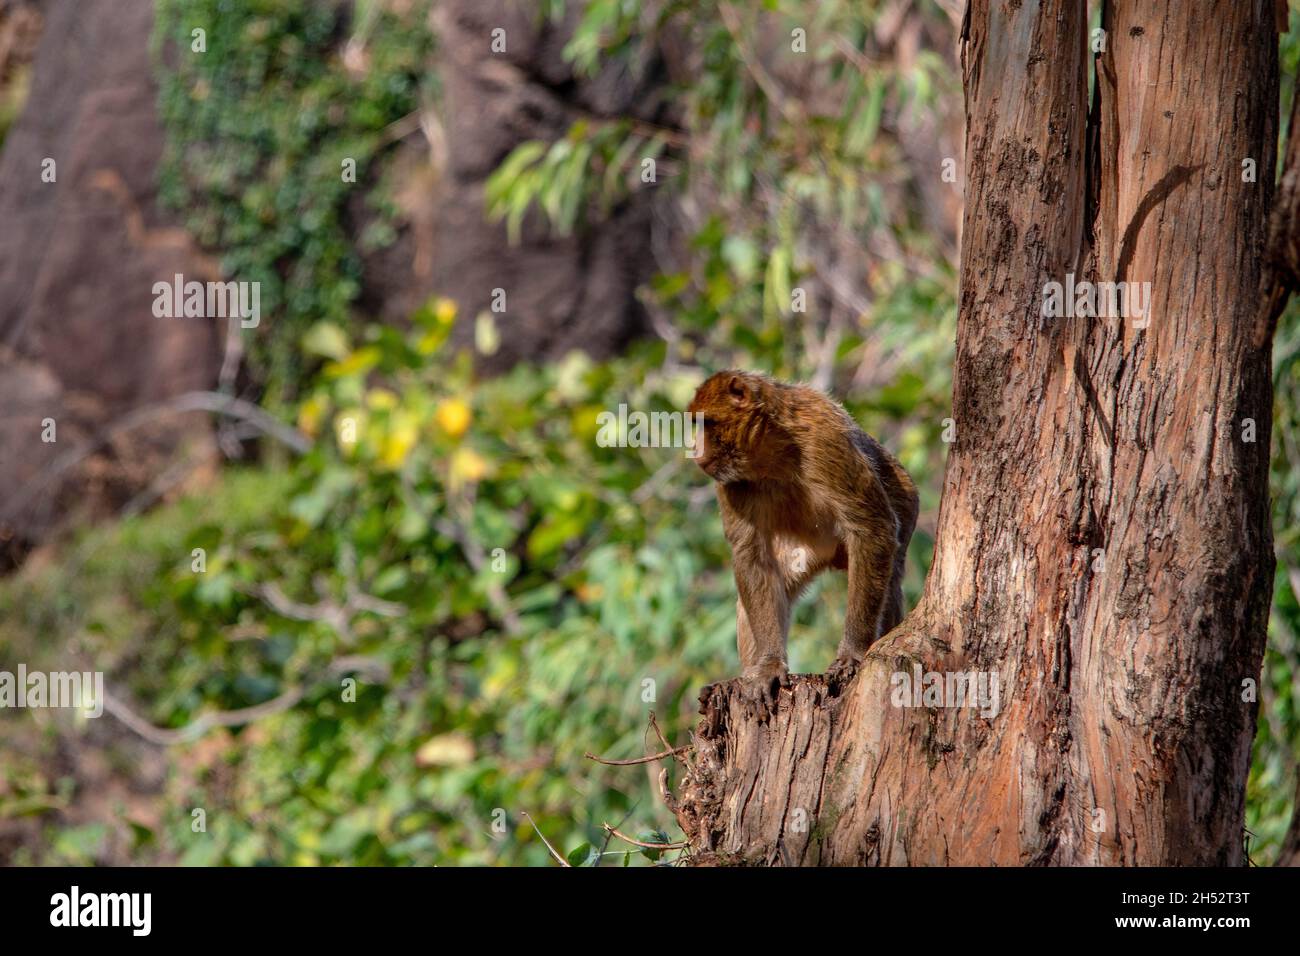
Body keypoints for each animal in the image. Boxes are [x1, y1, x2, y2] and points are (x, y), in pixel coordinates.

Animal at [691, 369, 915, 707]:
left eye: (706, 423)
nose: (695, 451)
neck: (772, 449)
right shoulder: (731, 484)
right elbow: (750, 555)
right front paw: (769, 665)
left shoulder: (824, 440)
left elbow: (871, 528)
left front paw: (851, 652)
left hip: (905, 498)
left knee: (888, 572)